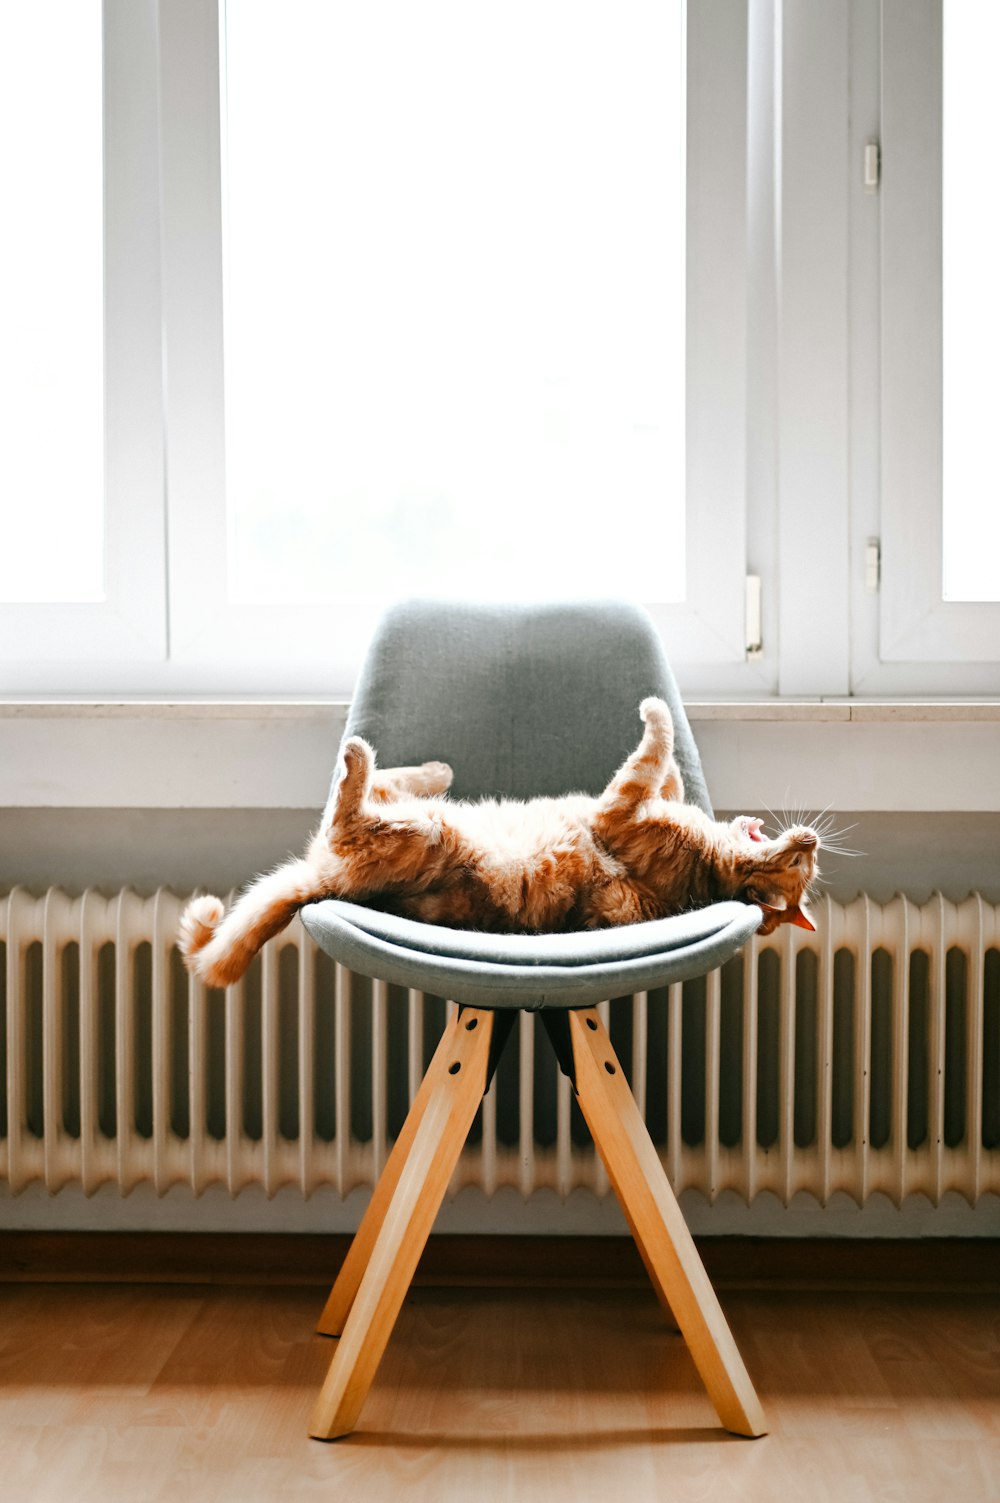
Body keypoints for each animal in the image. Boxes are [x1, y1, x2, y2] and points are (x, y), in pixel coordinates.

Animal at [181, 700, 818, 991]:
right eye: (805, 862)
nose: (811, 837)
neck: (711, 873)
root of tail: (325, 883)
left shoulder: (620, 809)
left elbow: (654, 748)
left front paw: (653, 708)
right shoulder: (639, 803)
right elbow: (671, 773)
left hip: (423, 833)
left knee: (347, 807)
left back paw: (359, 756)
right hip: (417, 816)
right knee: (383, 788)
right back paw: (432, 768)